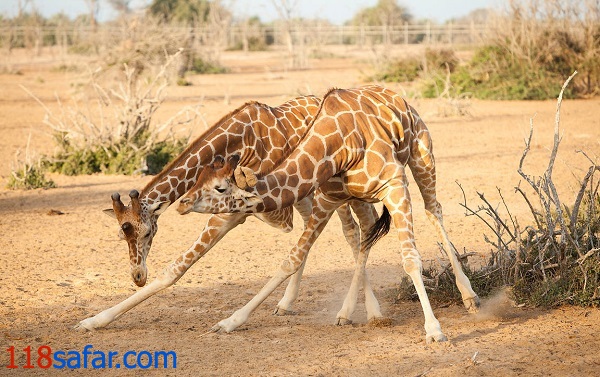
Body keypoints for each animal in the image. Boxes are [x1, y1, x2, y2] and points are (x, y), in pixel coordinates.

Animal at [76, 95, 384, 330]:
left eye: (149, 232)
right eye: (121, 234)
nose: (138, 276)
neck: (239, 140)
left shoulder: (236, 210)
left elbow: (178, 267)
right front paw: (93, 321)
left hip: (336, 191)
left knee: (356, 231)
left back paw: (366, 312)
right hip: (307, 196)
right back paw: (286, 304)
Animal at [177, 84, 478, 340]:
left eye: (219, 188)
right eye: (199, 177)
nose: (182, 202)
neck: (337, 147)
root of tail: (399, 97)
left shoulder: (395, 187)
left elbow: (411, 259)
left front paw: (434, 330)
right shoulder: (327, 198)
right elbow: (292, 259)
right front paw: (230, 322)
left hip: (422, 156)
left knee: (433, 210)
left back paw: (469, 296)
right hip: (359, 196)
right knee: (366, 233)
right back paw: (346, 311)